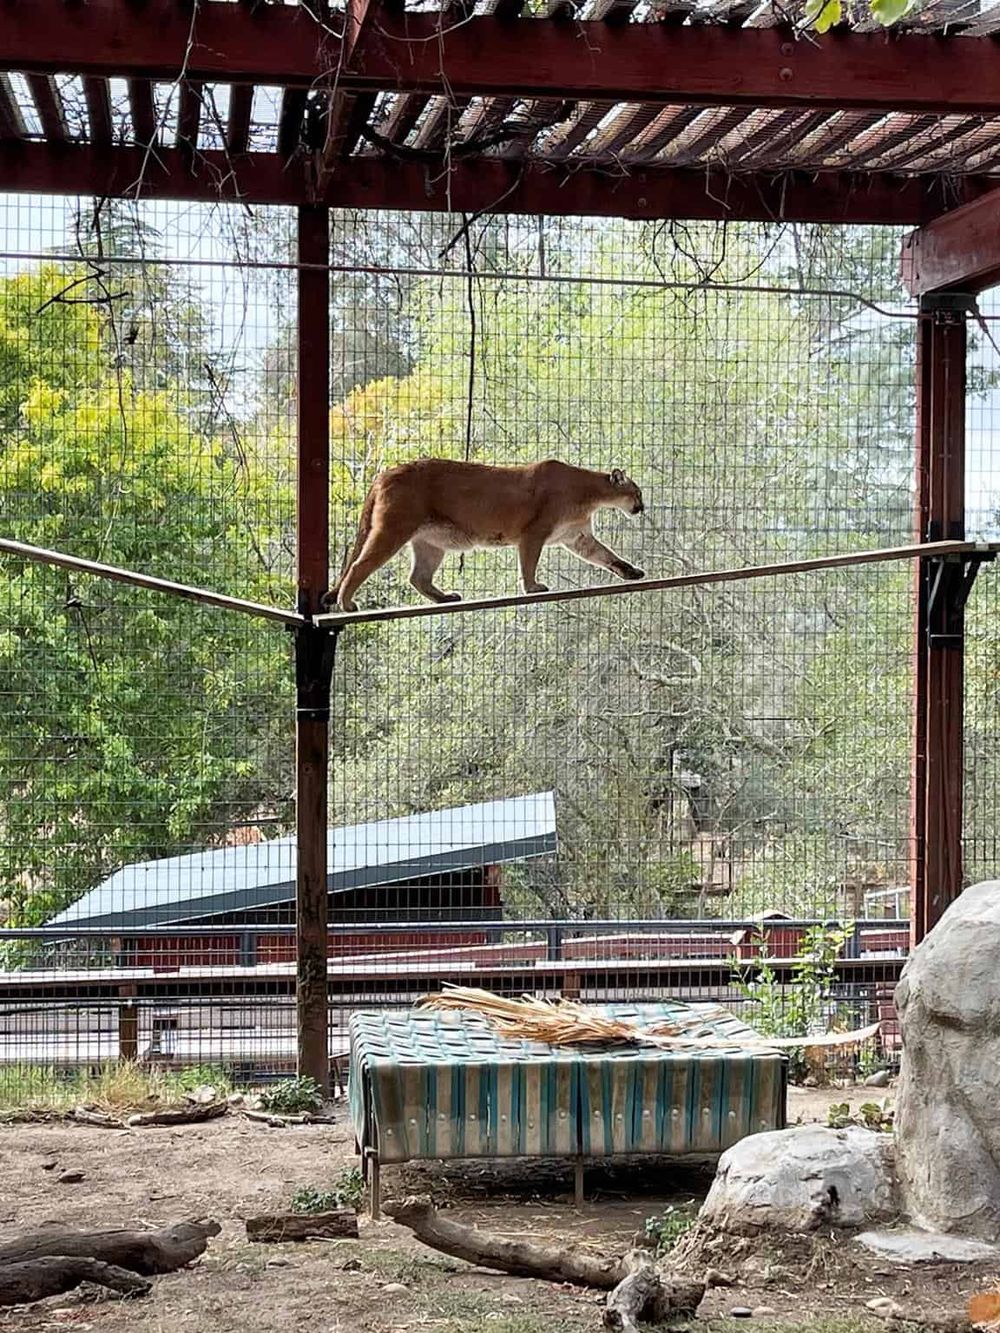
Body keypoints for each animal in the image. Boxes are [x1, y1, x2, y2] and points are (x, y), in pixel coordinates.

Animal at [326, 458, 646, 612]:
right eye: (637, 492)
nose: (642, 508)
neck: (588, 494)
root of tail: (383, 473)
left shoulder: (577, 537)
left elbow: (606, 556)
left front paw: (630, 572)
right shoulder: (535, 532)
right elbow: (529, 562)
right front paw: (532, 588)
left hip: (430, 541)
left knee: (418, 577)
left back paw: (445, 598)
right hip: (394, 528)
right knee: (359, 565)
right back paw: (346, 603)